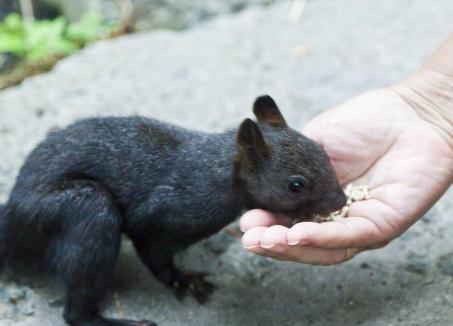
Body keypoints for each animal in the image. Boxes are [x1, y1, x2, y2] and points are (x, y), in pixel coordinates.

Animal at [0, 96, 346, 326]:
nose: (341, 201)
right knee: (75, 313)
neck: (214, 172)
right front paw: (183, 280)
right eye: (296, 185)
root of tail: (12, 219)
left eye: (323, 152)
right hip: (81, 209)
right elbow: (155, 256)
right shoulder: (159, 217)